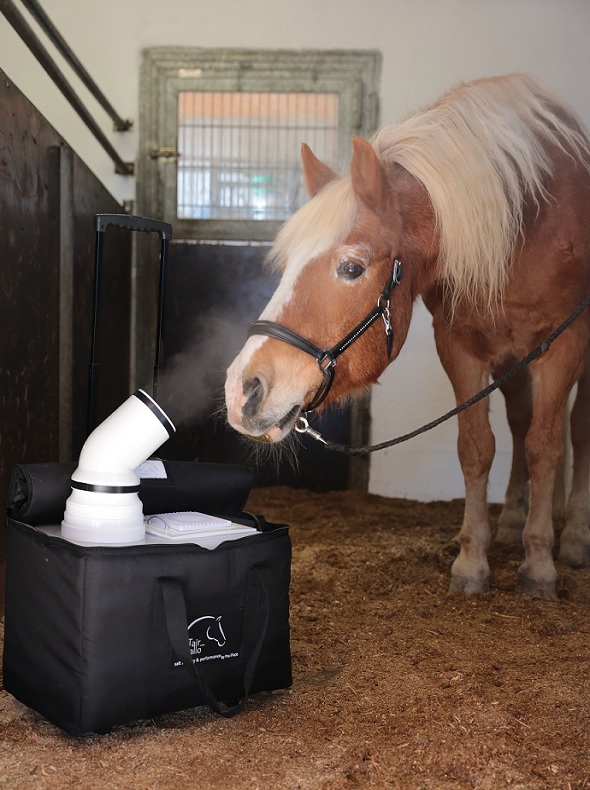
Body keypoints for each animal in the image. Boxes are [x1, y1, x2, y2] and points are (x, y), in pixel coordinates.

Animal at [225, 73, 590, 600]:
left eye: (351, 268)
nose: (242, 390)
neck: (524, 225)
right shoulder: (460, 345)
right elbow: (477, 447)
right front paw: (473, 561)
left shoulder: (564, 344)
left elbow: (547, 448)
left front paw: (539, 566)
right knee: (521, 424)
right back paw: (511, 522)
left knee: (576, 429)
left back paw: (575, 537)